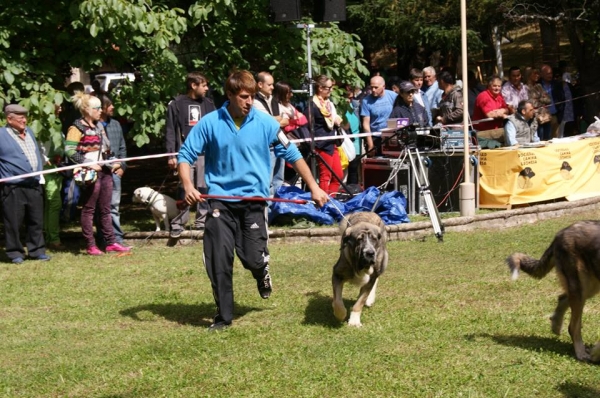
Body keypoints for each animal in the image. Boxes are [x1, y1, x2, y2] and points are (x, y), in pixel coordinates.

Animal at [506, 221, 600, 364]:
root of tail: (560, 234)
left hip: (589, 286)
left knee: (563, 298)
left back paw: (556, 325)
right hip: (583, 287)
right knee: (573, 326)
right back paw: (581, 353)